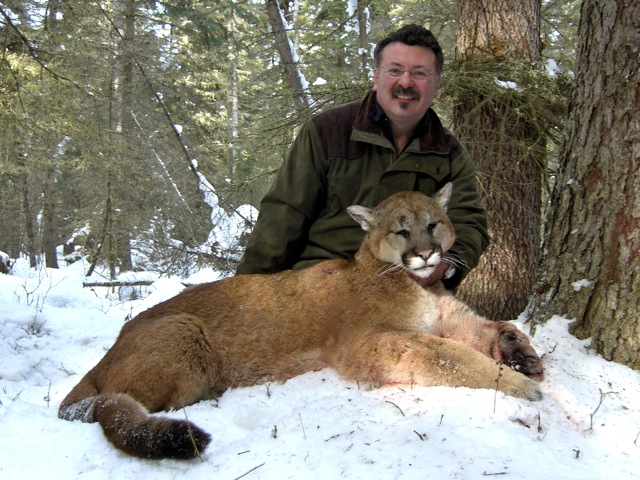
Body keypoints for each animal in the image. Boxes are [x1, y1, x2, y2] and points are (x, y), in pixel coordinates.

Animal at [58, 183, 543, 460]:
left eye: (434, 223)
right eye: (402, 230)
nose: (426, 253)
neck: (416, 284)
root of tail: (105, 356)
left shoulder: (449, 318)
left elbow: (495, 327)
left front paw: (523, 357)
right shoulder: (369, 343)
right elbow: (451, 356)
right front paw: (519, 385)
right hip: (182, 332)